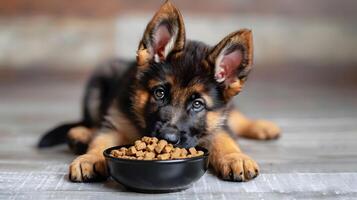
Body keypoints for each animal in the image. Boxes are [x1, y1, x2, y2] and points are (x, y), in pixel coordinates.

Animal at [38, 0, 278, 183]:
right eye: (160, 93)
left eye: (197, 104)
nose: (168, 138)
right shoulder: (114, 123)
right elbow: (101, 141)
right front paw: (89, 158)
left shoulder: (216, 124)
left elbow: (224, 138)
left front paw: (235, 157)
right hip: (98, 85)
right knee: (92, 122)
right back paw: (81, 134)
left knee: (236, 117)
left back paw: (261, 126)